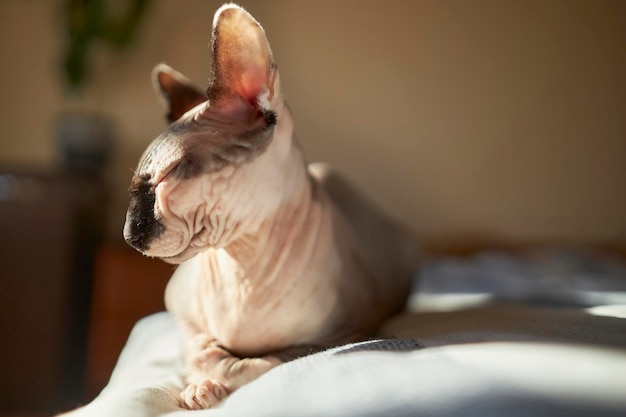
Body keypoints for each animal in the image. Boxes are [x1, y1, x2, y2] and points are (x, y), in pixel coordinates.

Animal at [122, 2, 416, 406]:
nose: (129, 233)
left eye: (169, 173)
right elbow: (203, 352)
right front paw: (198, 387)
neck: (243, 260)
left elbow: (256, 365)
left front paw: (207, 388)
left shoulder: (338, 337)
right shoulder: (180, 315)